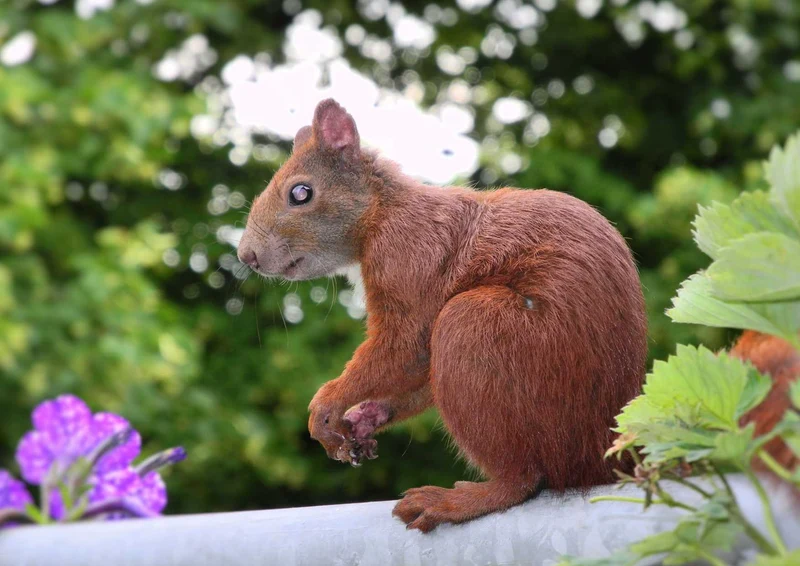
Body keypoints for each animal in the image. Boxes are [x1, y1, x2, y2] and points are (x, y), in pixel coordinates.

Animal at [237, 99, 798, 531]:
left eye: (301, 192)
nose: (246, 256)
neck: (381, 213)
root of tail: (600, 455)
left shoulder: (410, 263)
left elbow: (402, 349)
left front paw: (328, 406)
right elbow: (413, 376)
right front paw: (363, 420)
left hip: (477, 330)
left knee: (523, 479)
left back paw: (458, 500)